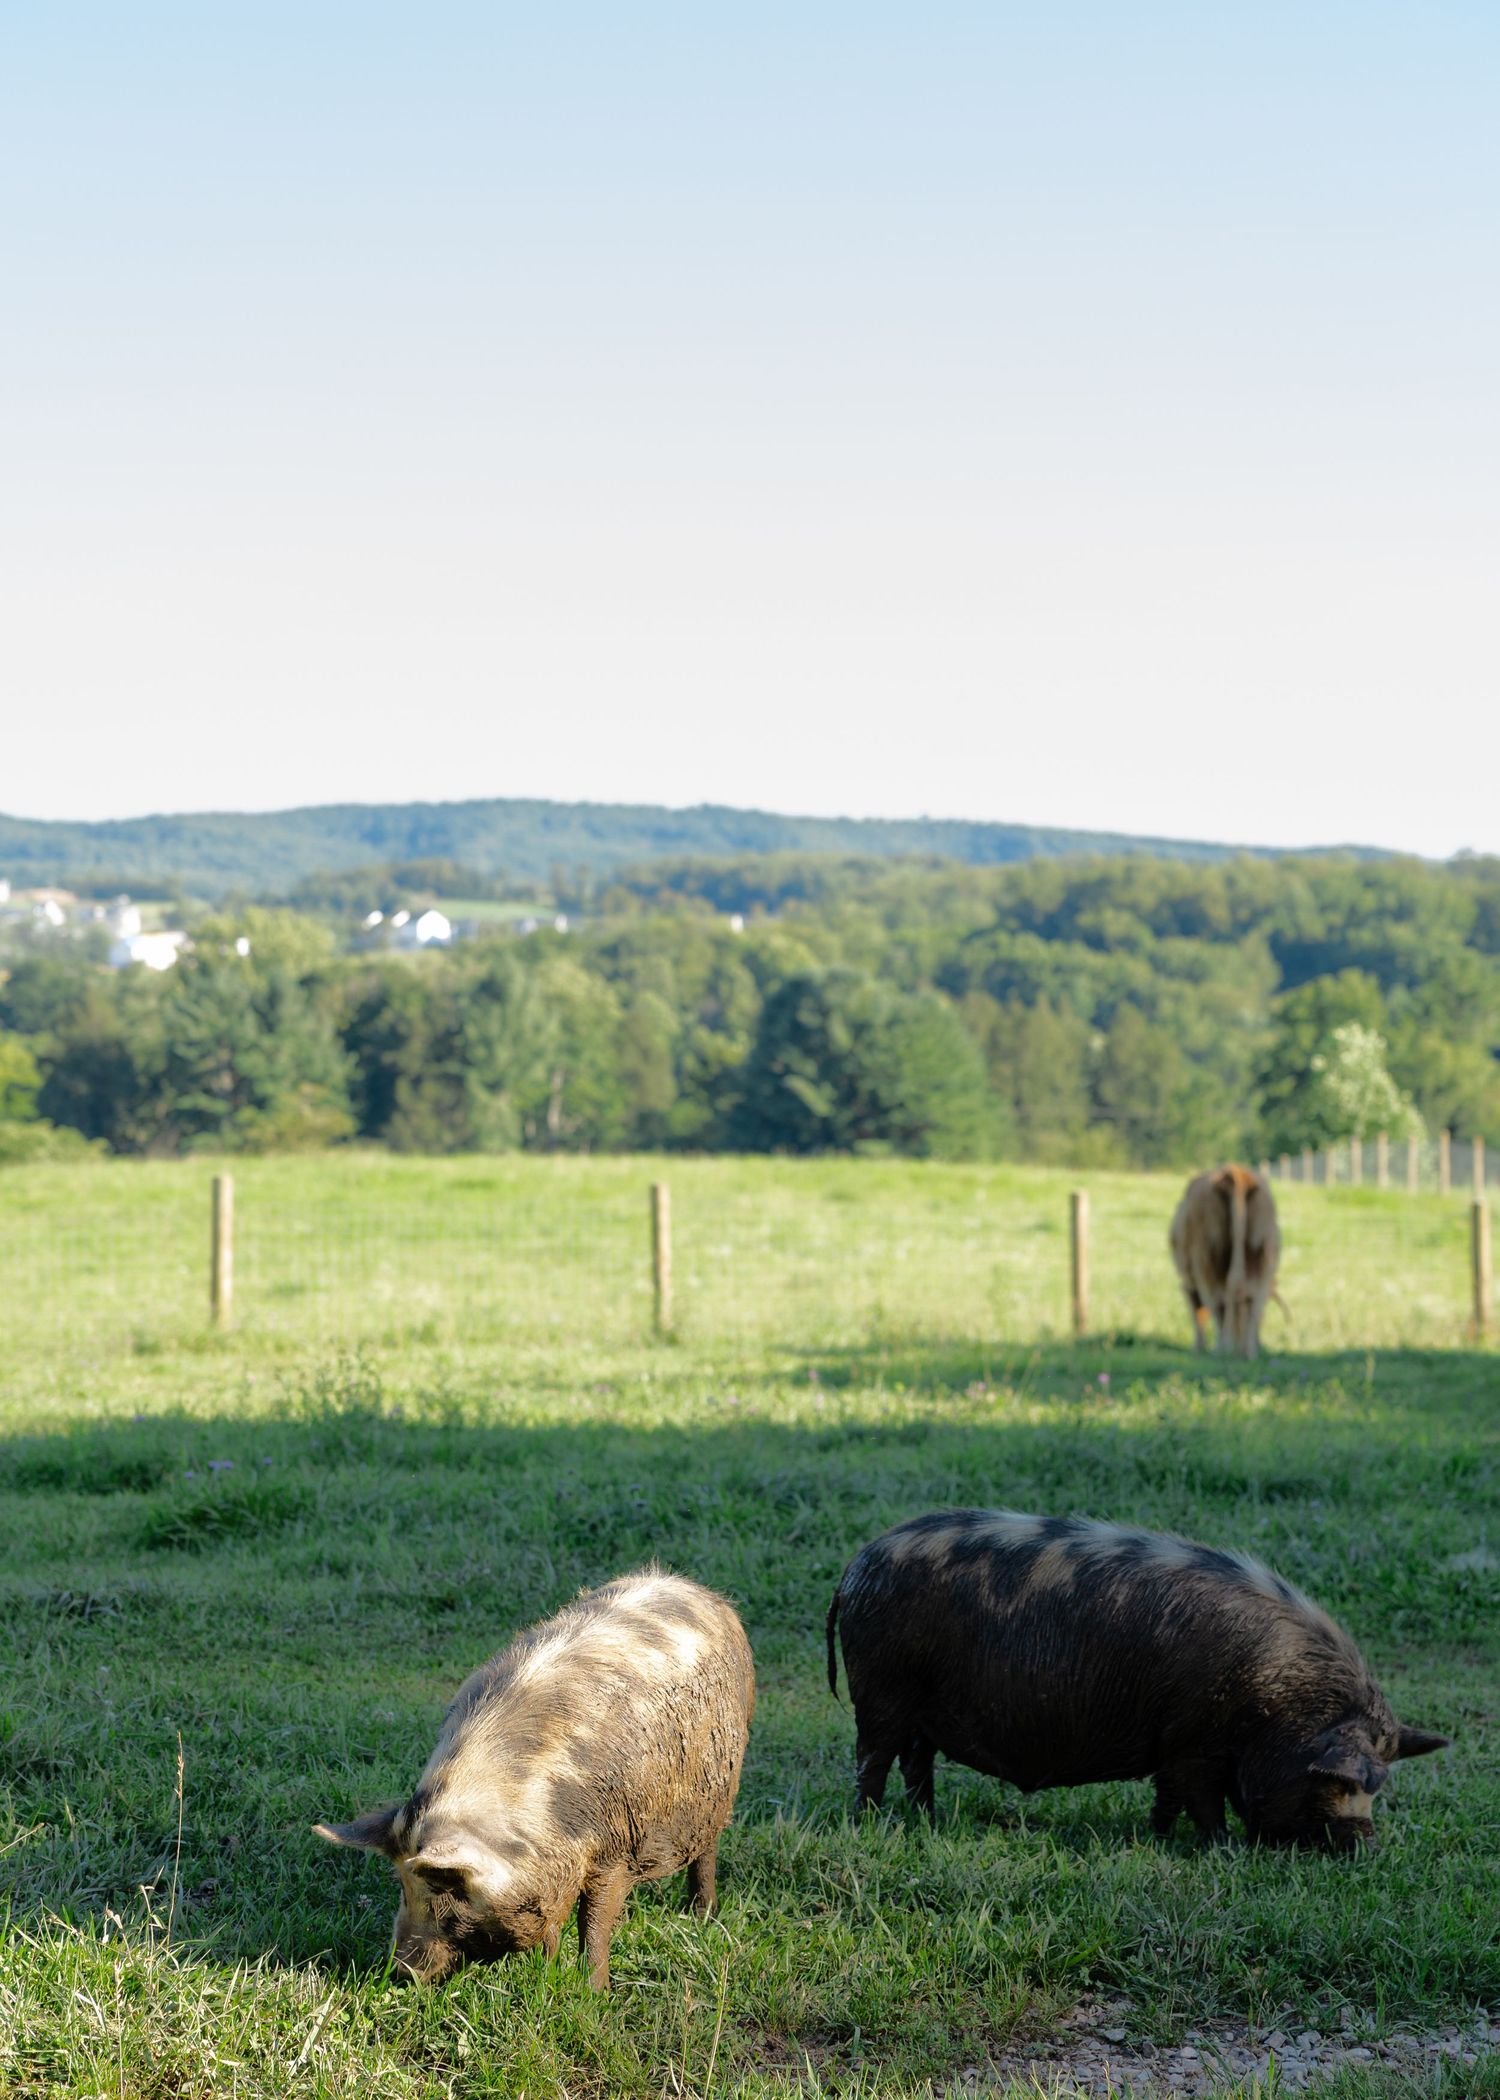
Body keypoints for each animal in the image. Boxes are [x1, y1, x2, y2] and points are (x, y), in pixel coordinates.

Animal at [316, 1569, 755, 1988]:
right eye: (401, 1887)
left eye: (452, 1890)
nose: (401, 1971)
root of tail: (700, 1591)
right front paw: (548, 1969)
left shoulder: (616, 1848)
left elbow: (594, 1921)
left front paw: (593, 1992)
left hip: (721, 1786)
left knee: (707, 1852)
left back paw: (702, 1916)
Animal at [826, 1509, 1447, 1851]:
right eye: (1336, 1782)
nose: (1366, 1847)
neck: (1274, 1702)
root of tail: (857, 1563)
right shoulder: (1196, 1741)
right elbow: (1201, 1801)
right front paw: (1223, 1850)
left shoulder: (1171, 1742)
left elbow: (1168, 1797)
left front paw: (1157, 1838)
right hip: (880, 1690)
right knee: (872, 1758)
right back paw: (869, 1824)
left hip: (918, 1710)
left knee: (917, 1762)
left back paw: (926, 1822)